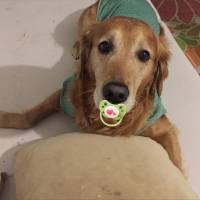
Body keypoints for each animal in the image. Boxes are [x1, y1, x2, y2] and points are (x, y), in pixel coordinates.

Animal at [0, 0, 183, 173]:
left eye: (144, 55)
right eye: (104, 46)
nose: (115, 93)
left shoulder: (163, 126)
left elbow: (177, 166)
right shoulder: (66, 92)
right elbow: (29, 117)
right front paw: (5, 118)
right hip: (87, 19)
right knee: (81, 35)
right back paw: (77, 47)